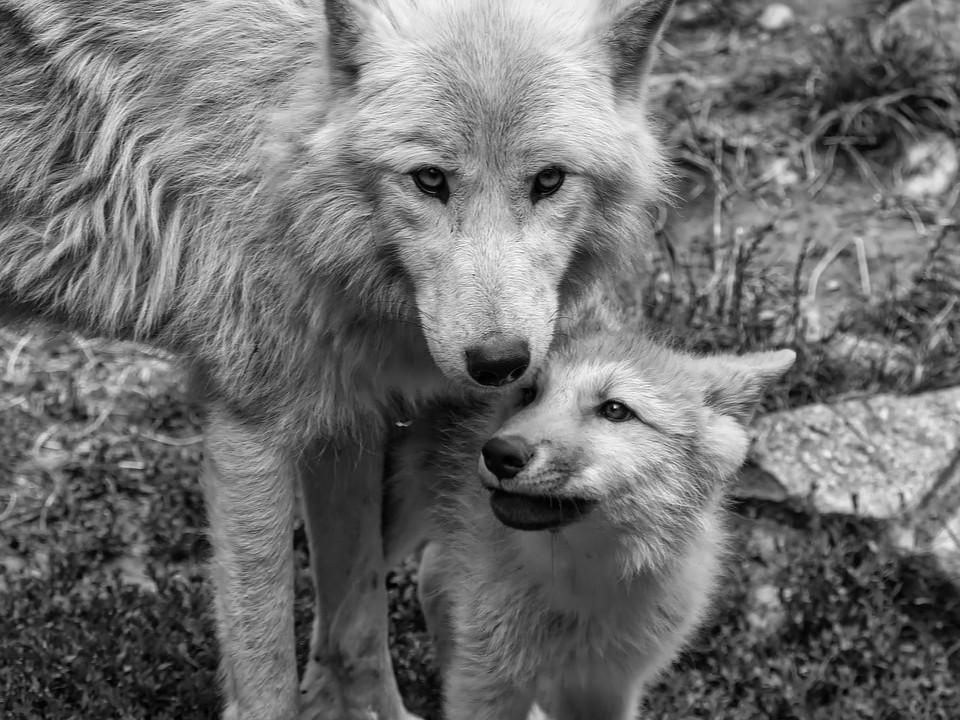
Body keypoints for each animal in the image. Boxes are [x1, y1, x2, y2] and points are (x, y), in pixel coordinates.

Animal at [0, 0, 675, 717]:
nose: (499, 362)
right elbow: (267, 676)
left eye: (549, 180)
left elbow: (356, 623)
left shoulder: (346, 418)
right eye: (429, 179)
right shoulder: (249, 432)